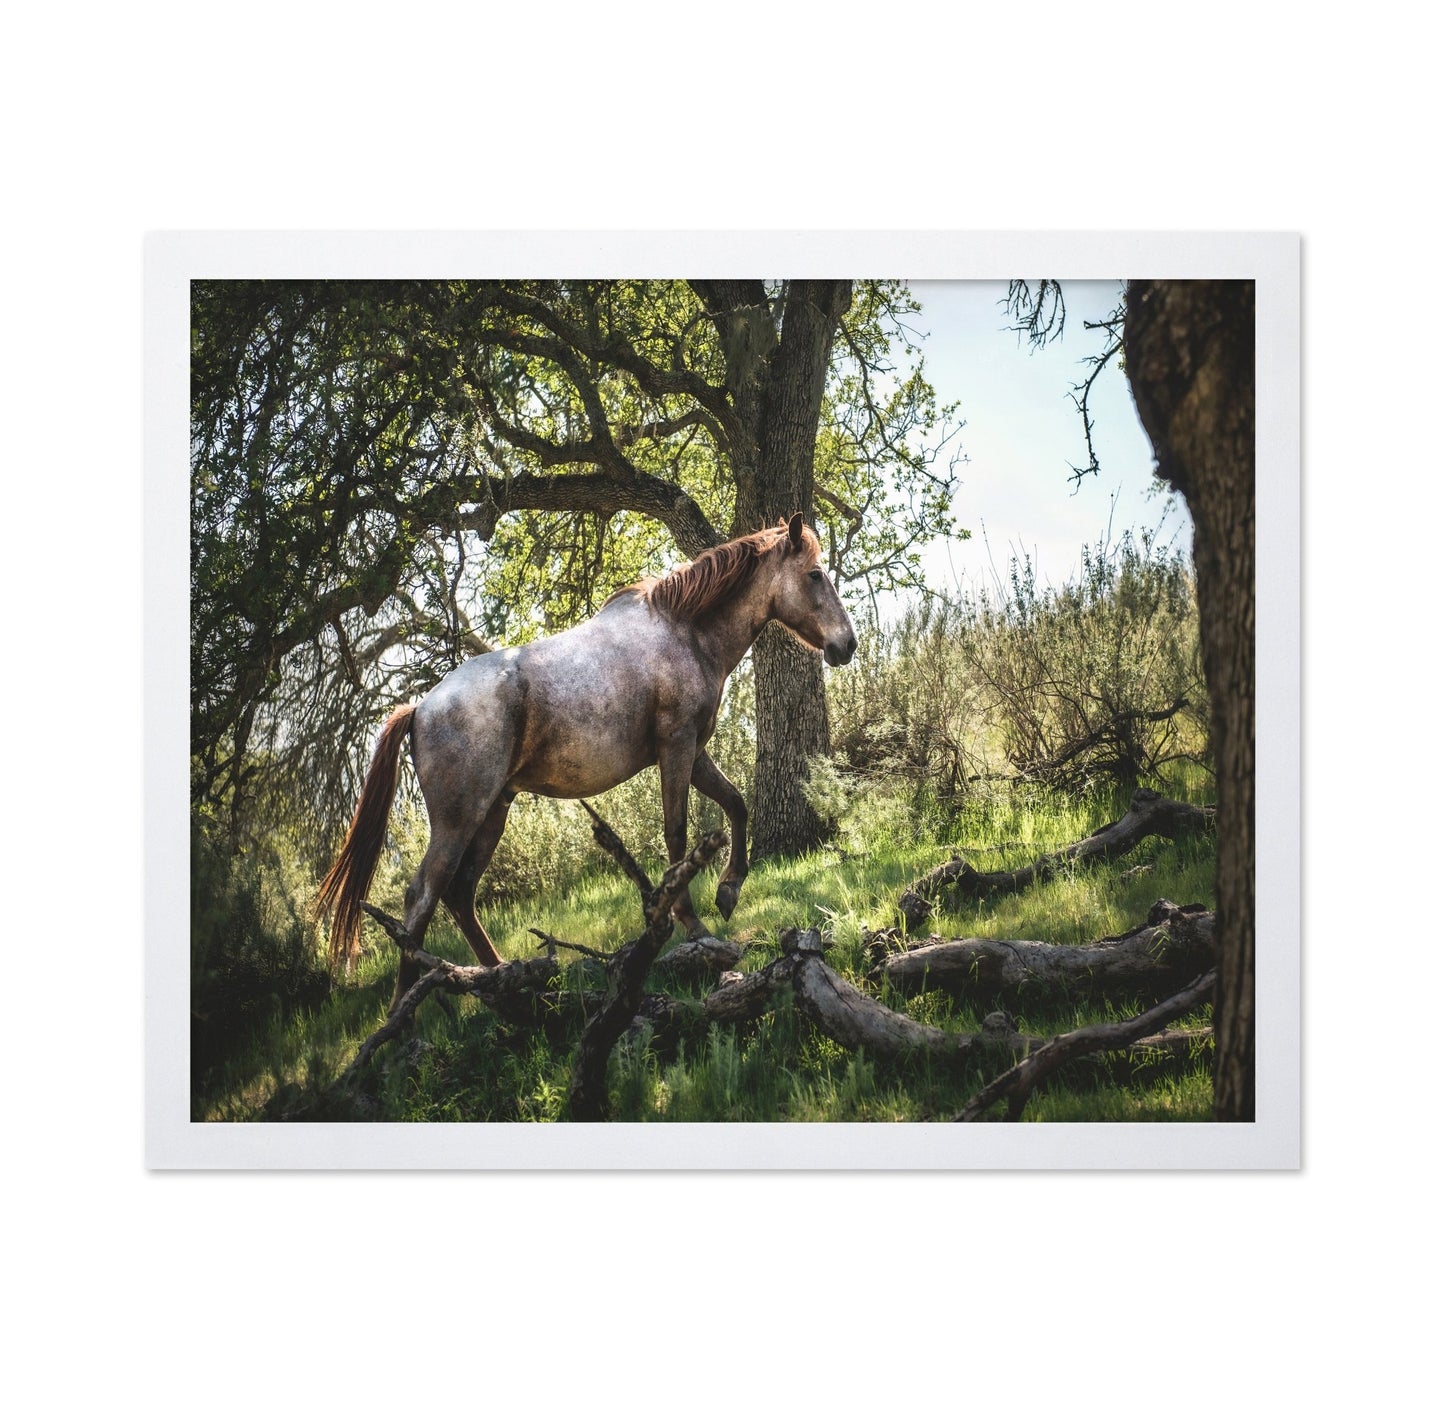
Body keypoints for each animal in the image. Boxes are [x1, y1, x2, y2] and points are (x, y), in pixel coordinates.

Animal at [317, 513, 858, 1012]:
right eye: (814, 574)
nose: (847, 644)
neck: (684, 631)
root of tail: (420, 708)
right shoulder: (677, 747)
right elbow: (677, 835)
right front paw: (694, 925)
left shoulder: (695, 751)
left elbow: (737, 805)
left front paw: (728, 890)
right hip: (458, 819)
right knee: (423, 896)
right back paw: (405, 1011)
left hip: (493, 810)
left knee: (460, 893)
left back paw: (506, 981)